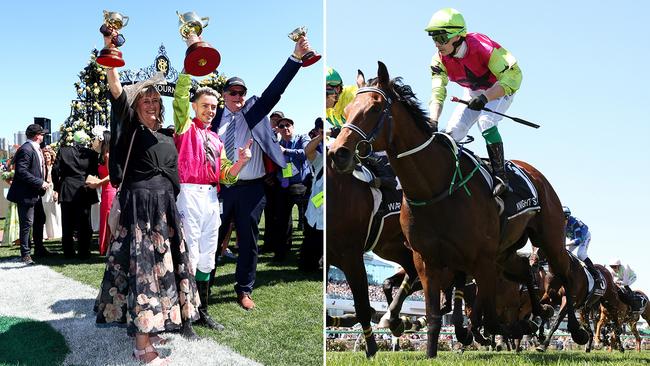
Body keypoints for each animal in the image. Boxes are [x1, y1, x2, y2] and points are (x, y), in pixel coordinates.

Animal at [330, 62, 588, 358]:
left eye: (374, 108)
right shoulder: (427, 259)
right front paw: (430, 347)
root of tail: (535, 173)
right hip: (502, 253)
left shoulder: (479, 260)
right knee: (524, 269)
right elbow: (437, 313)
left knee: (564, 276)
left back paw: (572, 329)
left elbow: (486, 315)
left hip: (548, 240)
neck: (434, 188)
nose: (339, 153)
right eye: (348, 110)